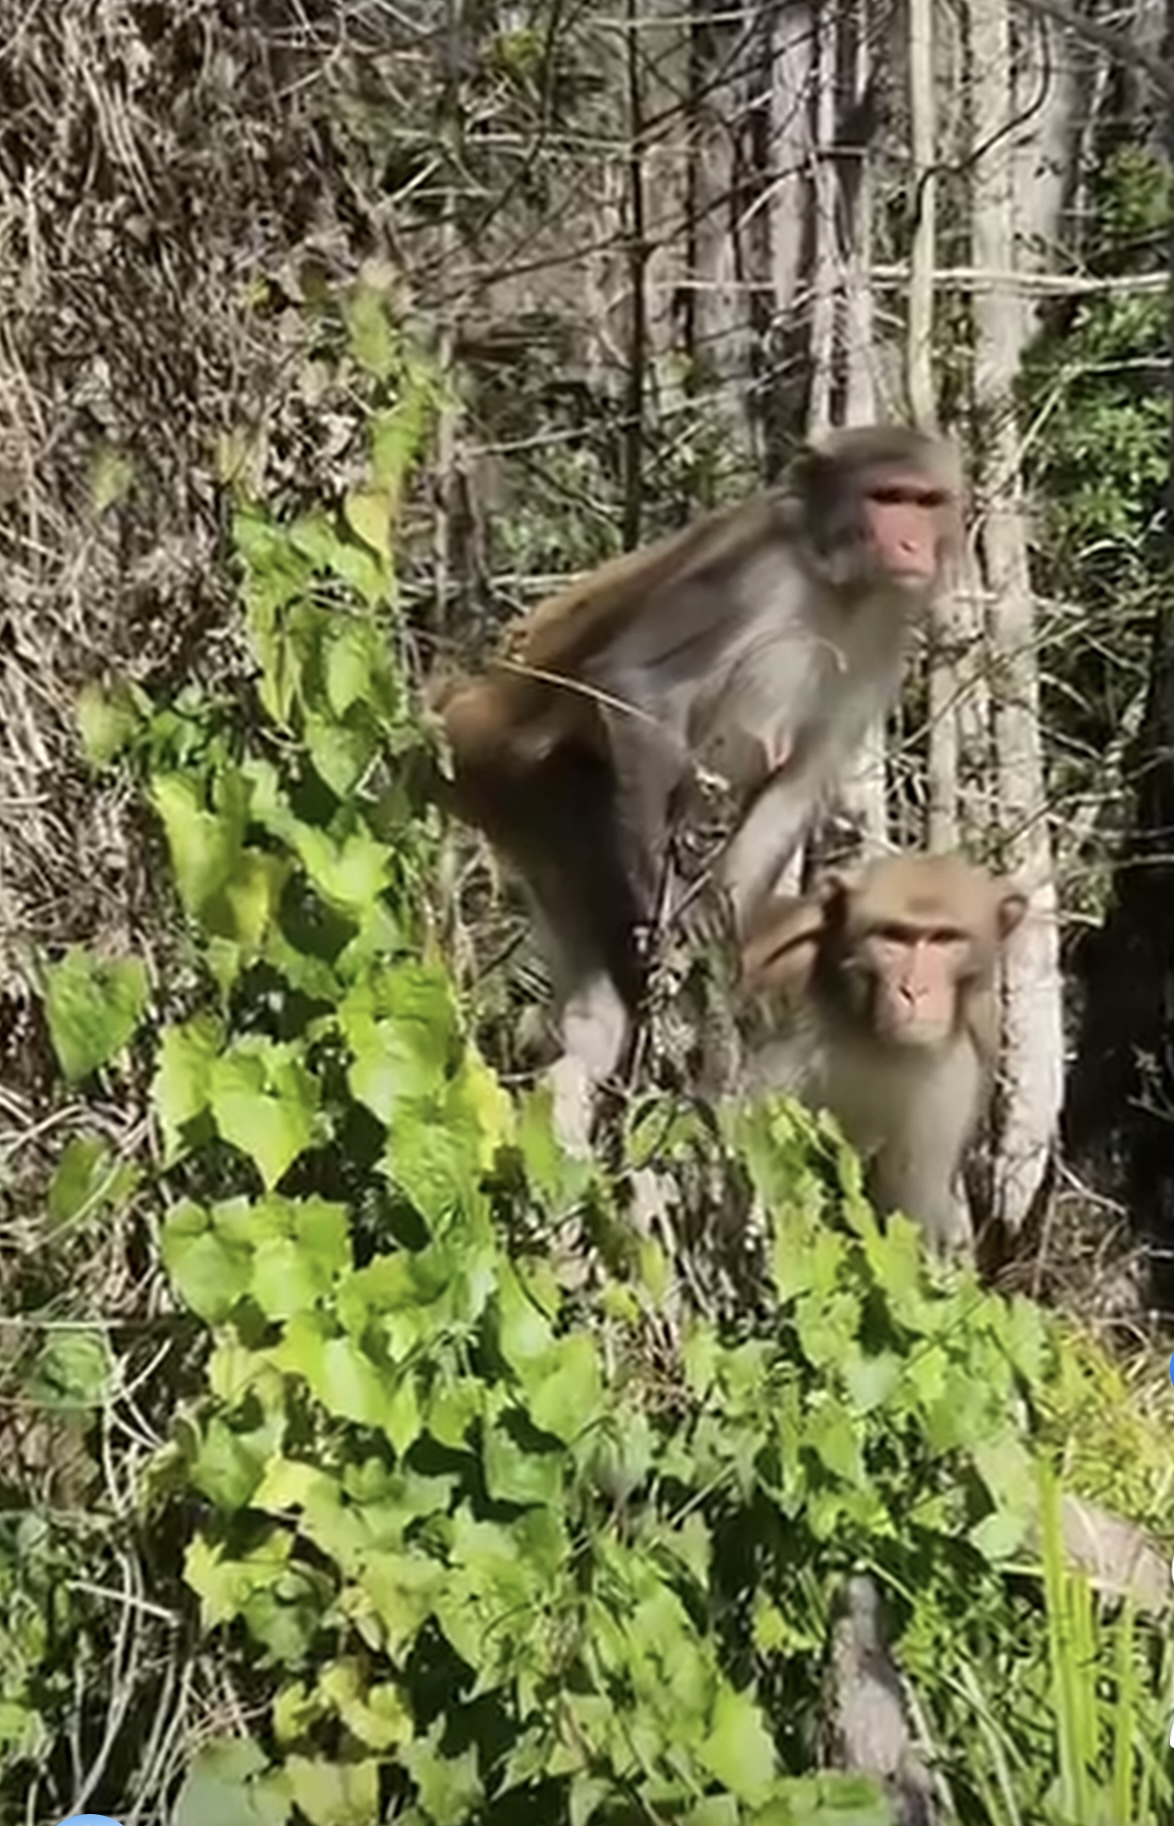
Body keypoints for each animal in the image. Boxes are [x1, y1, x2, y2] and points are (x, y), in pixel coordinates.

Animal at [436, 423, 956, 1154]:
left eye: (925, 501)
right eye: (889, 498)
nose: (912, 544)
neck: (835, 581)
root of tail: (472, 704)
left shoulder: (886, 634)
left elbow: (801, 780)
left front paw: (719, 943)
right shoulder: (751, 570)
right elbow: (635, 684)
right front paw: (677, 926)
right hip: (538, 788)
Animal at [744, 850, 1029, 1256]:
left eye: (946, 938)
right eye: (892, 937)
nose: (914, 990)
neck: (874, 1036)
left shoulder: (969, 1051)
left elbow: (906, 1212)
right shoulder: (787, 978)